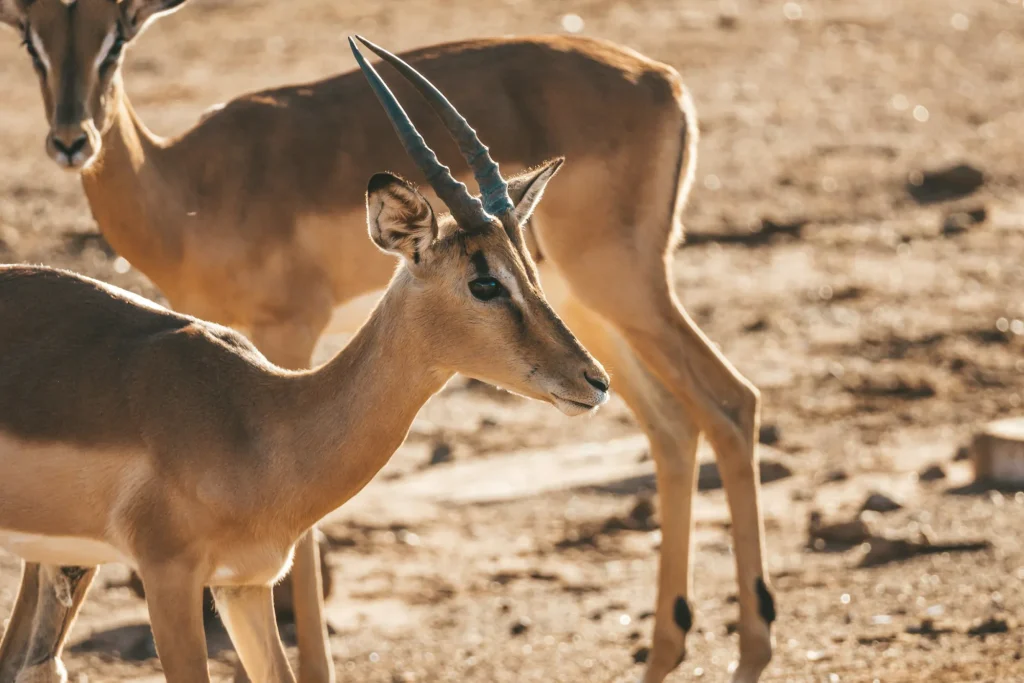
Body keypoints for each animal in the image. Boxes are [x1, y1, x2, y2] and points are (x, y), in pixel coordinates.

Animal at [0, 1, 776, 681]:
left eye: (526, 267)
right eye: (483, 281)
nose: (590, 382)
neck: (256, 420)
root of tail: (666, 81)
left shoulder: (241, 585)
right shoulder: (175, 579)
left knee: (712, 409)